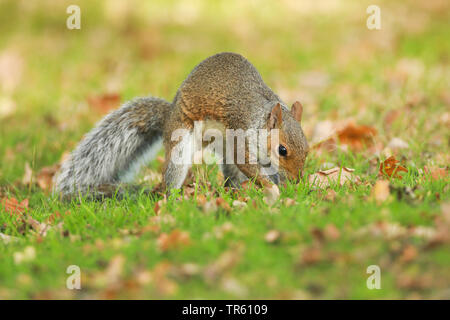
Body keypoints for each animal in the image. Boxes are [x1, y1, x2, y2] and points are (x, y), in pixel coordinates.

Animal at [53, 52, 310, 198]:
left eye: (307, 150)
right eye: (282, 150)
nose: (297, 180)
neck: (259, 119)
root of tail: (168, 117)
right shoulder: (240, 129)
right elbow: (247, 164)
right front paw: (273, 188)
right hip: (181, 143)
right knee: (171, 180)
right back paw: (174, 198)